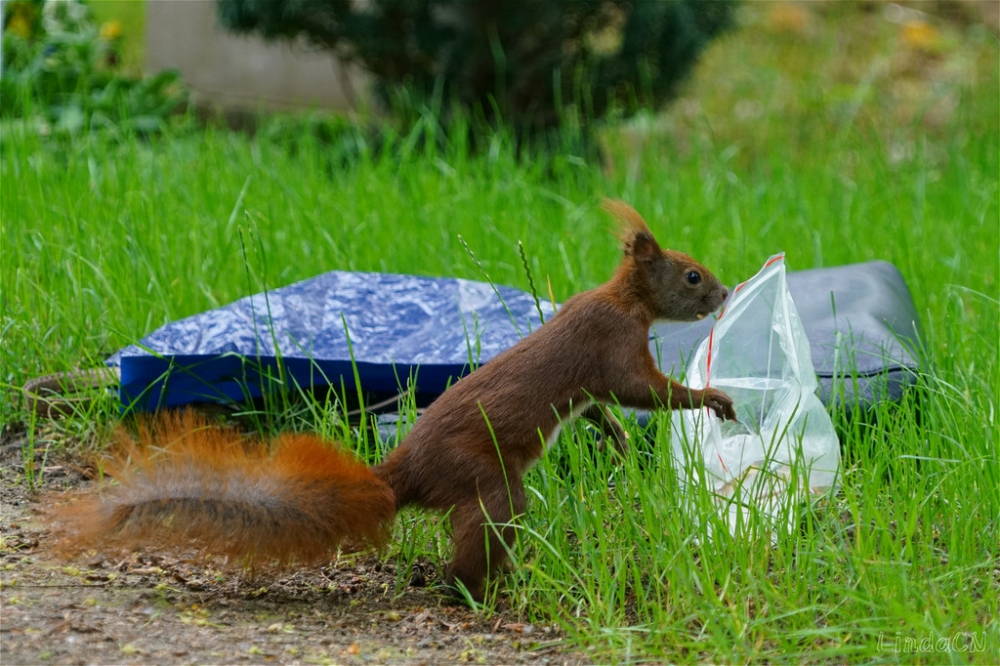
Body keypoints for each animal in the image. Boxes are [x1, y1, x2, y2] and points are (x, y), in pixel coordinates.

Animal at [56, 200, 744, 600]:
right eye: (691, 276)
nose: (725, 292)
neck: (625, 301)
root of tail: (401, 474)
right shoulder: (612, 345)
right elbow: (644, 391)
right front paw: (712, 398)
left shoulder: (596, 376)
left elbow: (604, 405)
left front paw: (617, 436)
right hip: (487, 483)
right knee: (476, 544)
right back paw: (481, 590)